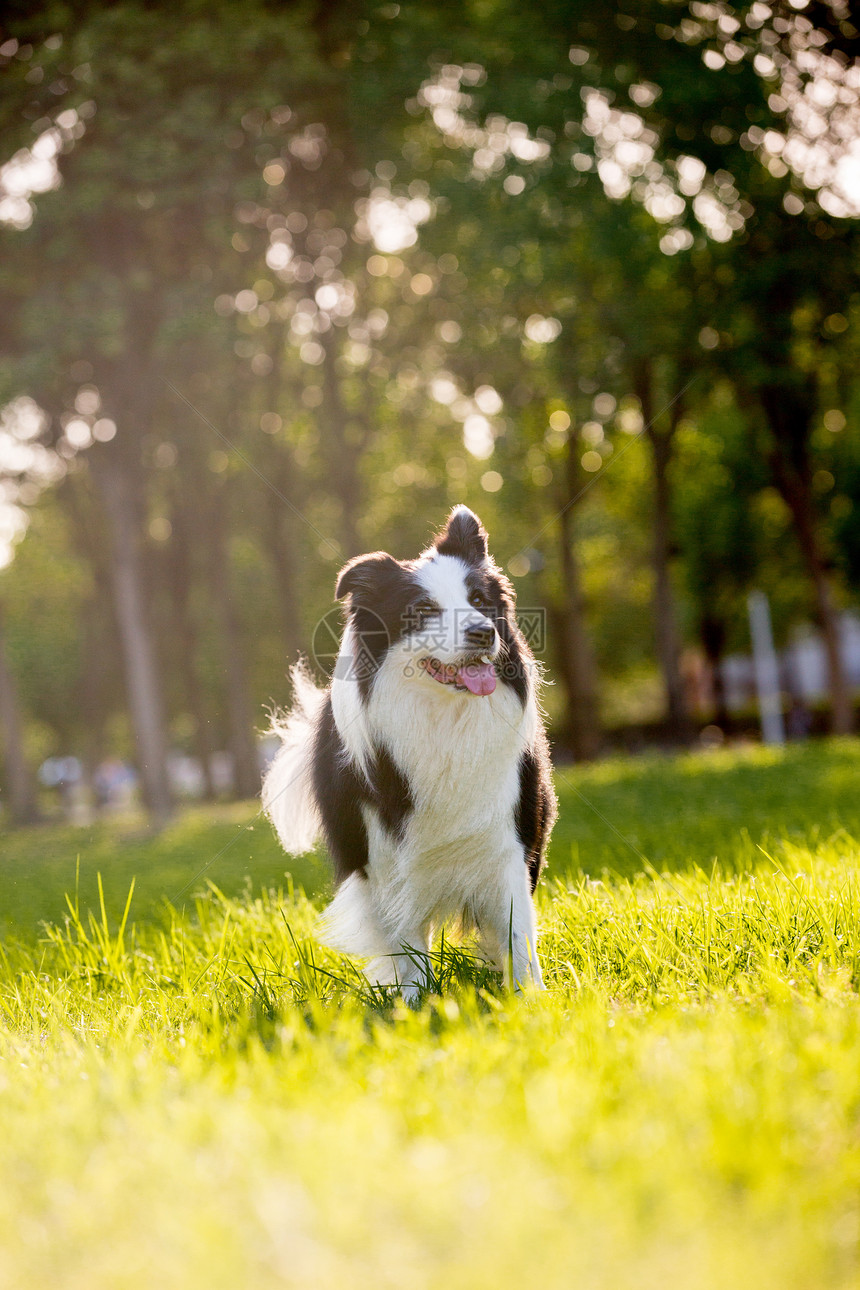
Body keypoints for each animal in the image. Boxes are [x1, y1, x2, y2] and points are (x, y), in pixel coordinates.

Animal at [264, 503, 559, 995]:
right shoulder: (385, 858)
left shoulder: (509, 837)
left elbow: (517, 929)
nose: (483, 633)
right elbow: (406, 944)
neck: (443, 720)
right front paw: (417, 1002)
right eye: (424, 610)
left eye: (479, 601)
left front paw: (528, 996)